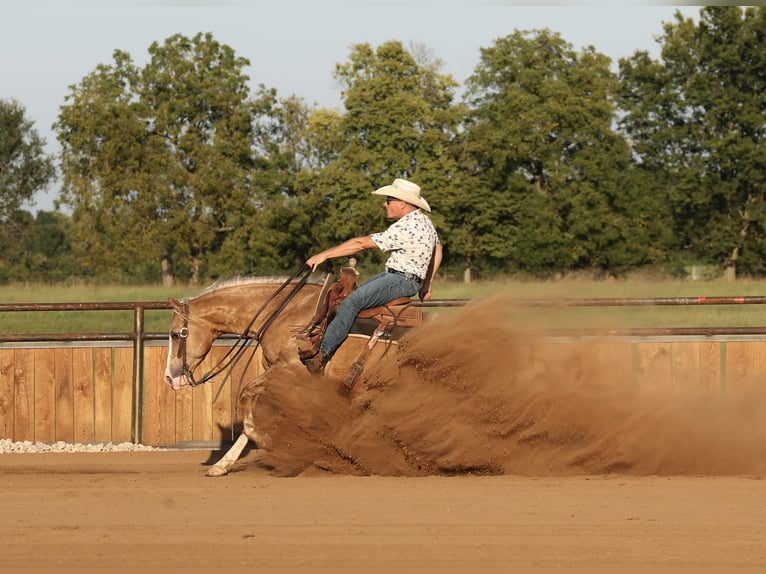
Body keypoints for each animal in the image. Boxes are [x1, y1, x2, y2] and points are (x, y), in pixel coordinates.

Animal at [163, 271, 413, 476]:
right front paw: (222, 465)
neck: (282, 315)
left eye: (175, 334)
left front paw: (267, 442)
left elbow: (245, 396)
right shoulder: (276, 373)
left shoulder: (289, 370)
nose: (168, 377)